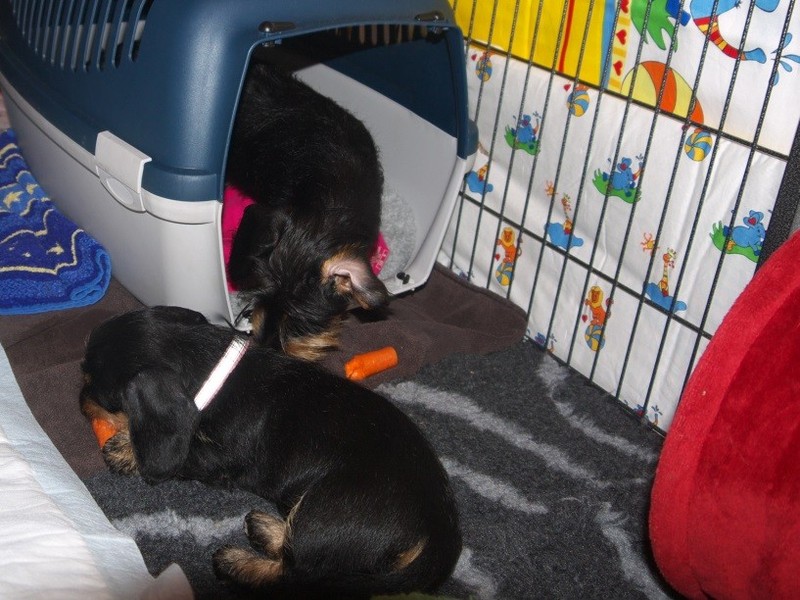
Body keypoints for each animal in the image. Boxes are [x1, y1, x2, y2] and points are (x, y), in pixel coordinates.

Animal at [79, 306, 461, 599]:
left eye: (97, 389)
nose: (81, 406)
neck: (215, 373)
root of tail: (439, 531)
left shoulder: (217, 460)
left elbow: (182, 457)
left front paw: (124, 450)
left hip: (326, 508)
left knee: (298, 574)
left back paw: (236, 562)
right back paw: (266, 528)